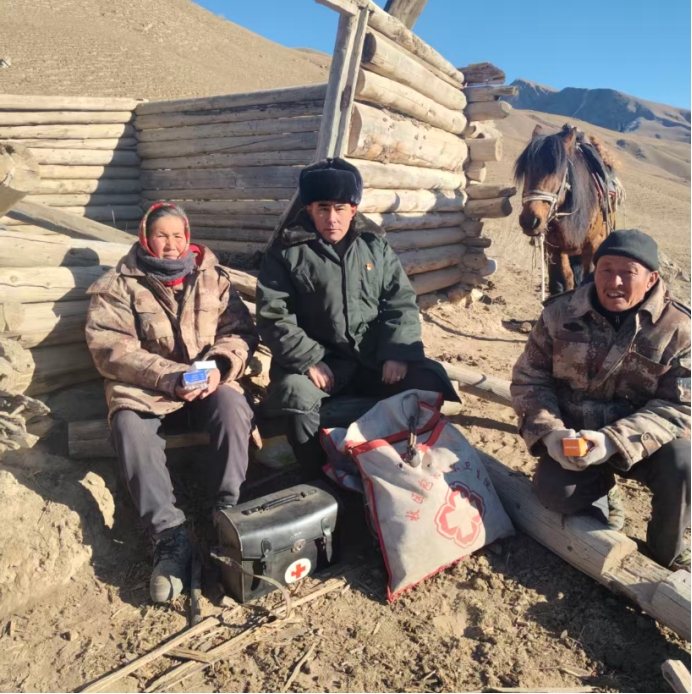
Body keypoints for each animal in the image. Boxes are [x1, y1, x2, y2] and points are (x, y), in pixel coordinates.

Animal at [514, 123, 623, 295]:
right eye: (526, 170)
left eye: (557, 171)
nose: (529, 221)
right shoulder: (554, 249)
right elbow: (561, 284)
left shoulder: (592, 246)